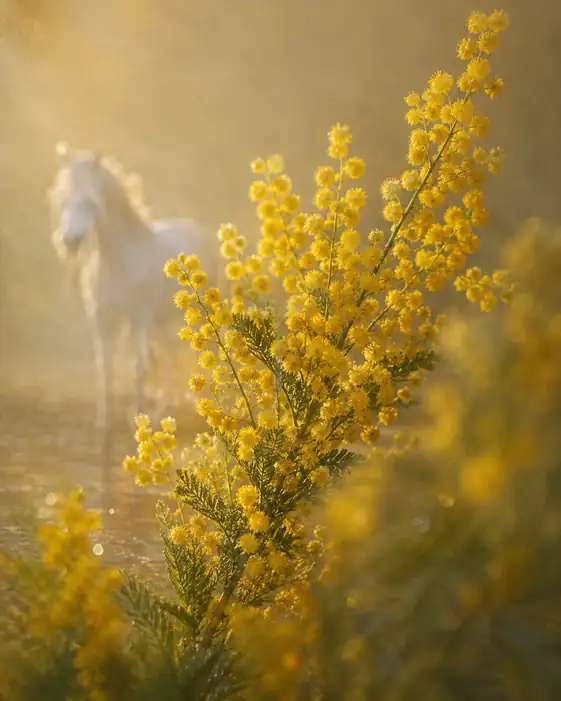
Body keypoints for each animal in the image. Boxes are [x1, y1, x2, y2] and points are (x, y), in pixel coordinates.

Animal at [47, 142, 218, 432]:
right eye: (62, 199)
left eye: (90, 201)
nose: (69, 242)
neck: (120, 259)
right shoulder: (103, 319)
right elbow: (107, 369)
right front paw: (106, 422)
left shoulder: (140, 318)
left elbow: (140, 368)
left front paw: (139, 420)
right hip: (163, 320)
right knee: (169, 357)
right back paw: (165, 410)